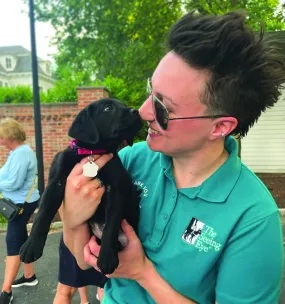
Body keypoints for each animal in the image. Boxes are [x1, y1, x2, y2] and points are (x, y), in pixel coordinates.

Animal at [19, 98, 141, 276]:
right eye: (108, 108)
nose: (136, 112)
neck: (91, 153)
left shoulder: (116, 190)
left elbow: (111, 225)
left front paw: (106, 257)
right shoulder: (55, 183)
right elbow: (42, 214)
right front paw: (31, 246)